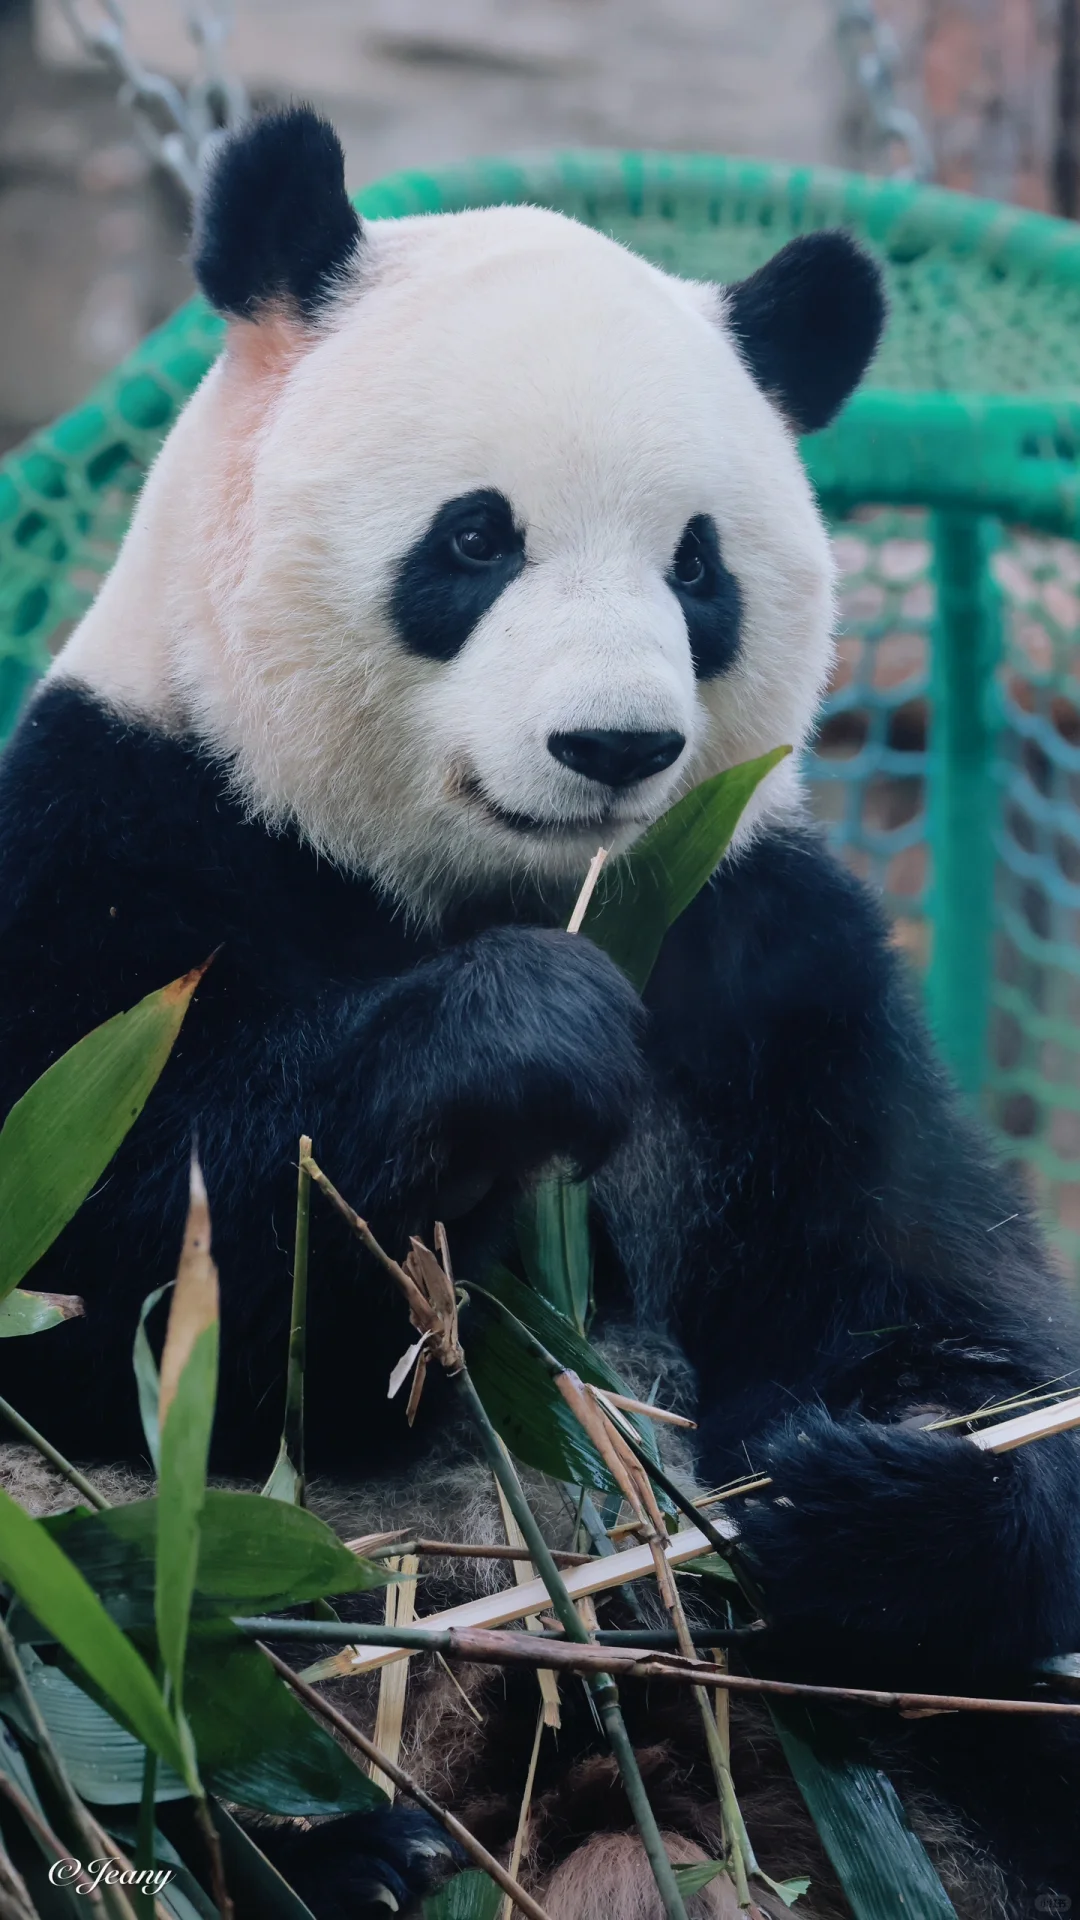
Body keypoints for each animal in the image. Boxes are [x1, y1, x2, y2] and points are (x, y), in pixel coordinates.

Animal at [2, 101, 1076, 1920]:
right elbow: (121, 1266)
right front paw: (520, 1043)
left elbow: (934, 1303)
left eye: (699, 569)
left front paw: (883, 1496)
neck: (484, 886)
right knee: (115, 1662)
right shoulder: (115, 836)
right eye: (474, 537)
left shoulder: (769, 954)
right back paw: (334, 1849)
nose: (616, 747)